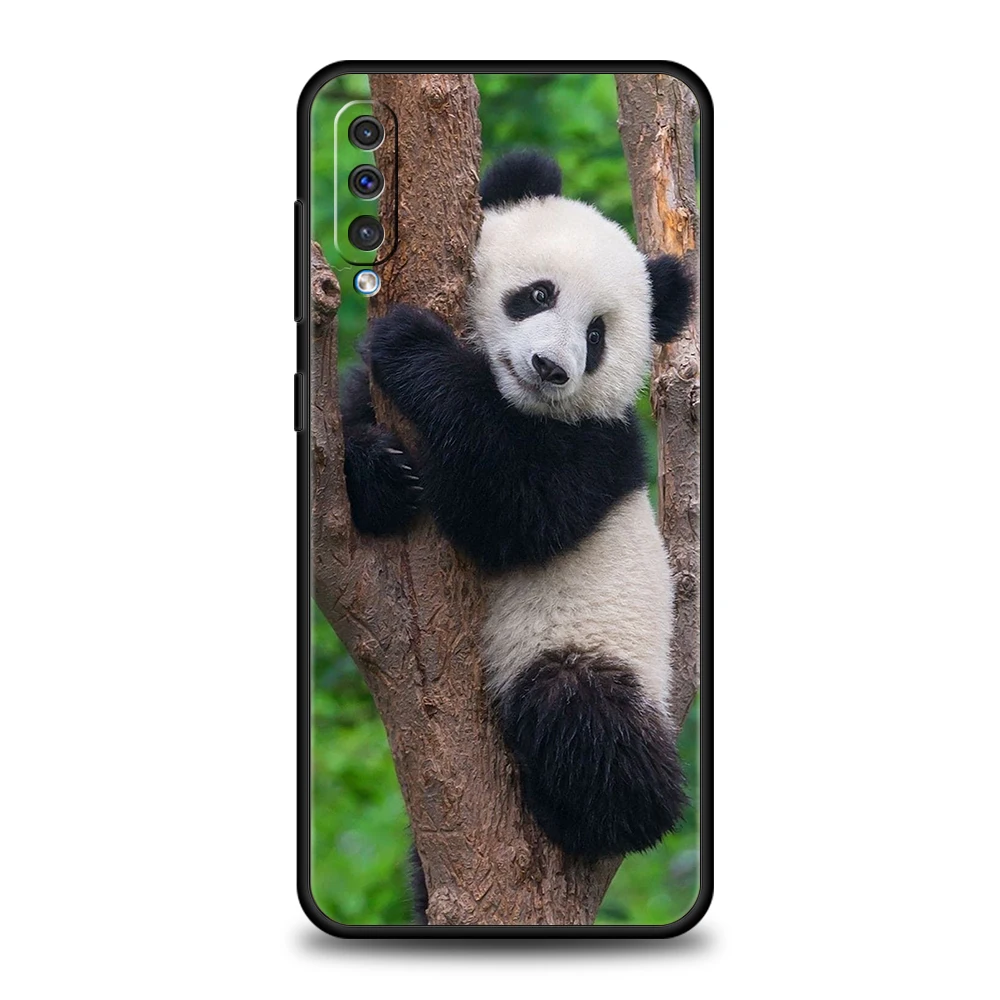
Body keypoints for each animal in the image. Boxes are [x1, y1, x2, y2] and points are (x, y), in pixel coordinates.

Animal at [340, 150, 693, 874]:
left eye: (596, 335)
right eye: (538, 294)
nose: (550, 368)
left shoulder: (601, 448)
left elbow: (514, 510)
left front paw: (413, 346)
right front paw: (383, 473)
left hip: (591, 644)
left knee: (585, 717)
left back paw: (596, 816)